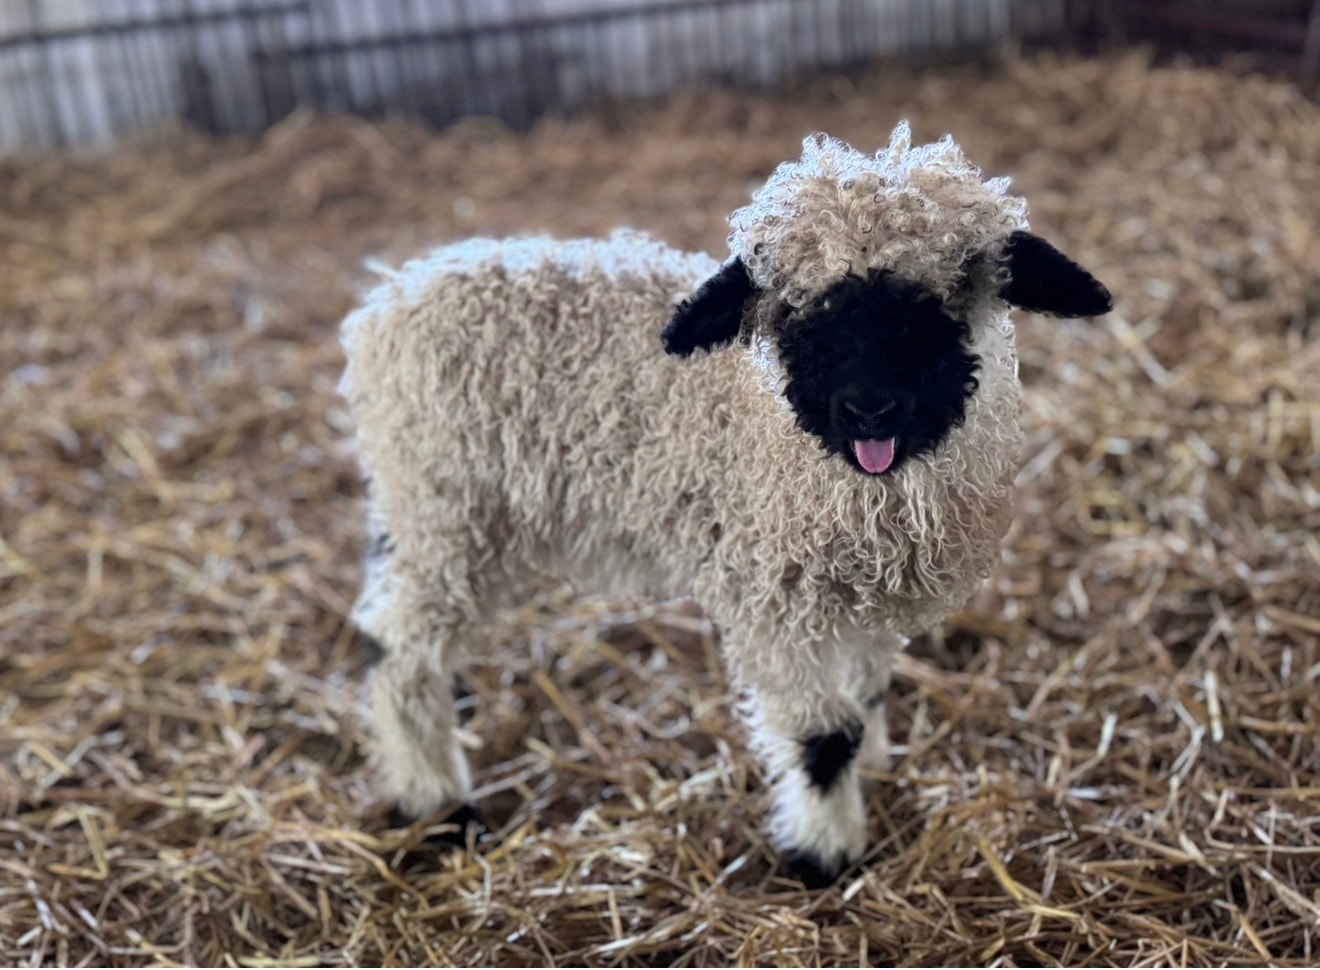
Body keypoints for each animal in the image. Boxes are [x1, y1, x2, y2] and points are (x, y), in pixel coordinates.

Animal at [338, 122, 1112, 887]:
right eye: (795, 308)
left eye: (945, 294)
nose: (869, 409)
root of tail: (388, 303)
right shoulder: (777, 599)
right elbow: (825, 733)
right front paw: (824, 851)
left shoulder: (863, 601)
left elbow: (866, 694)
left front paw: (870, 774)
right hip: (445, 509)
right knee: (399, 646)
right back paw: (435, 800)